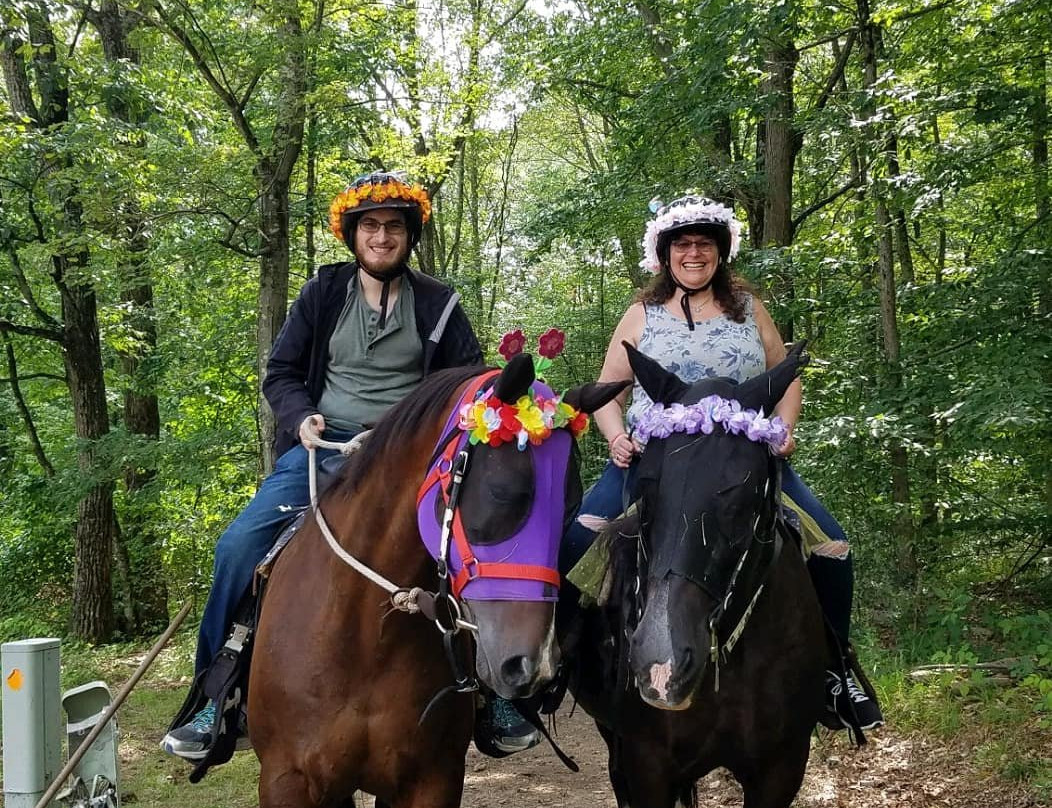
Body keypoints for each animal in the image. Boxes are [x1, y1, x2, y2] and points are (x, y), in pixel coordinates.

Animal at [246, 357, 622, 808]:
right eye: (503, 493)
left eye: (570, 505)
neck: (366, 635)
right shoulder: (287, 781)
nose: (535, 664)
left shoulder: (433, 780)